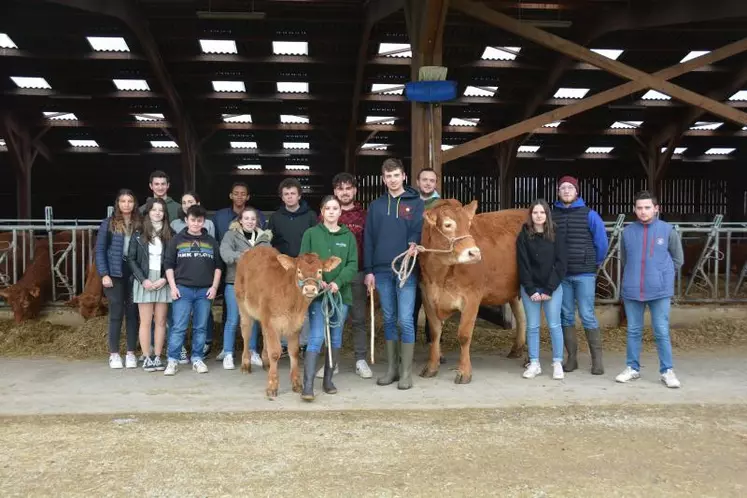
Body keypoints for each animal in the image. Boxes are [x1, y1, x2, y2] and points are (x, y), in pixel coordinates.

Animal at [234, 246, 342, 400]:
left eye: (320, 271)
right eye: (299, 271)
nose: (310, 289)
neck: (293, 303)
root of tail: (253, 249)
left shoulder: (295, 324)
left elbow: (294, 352)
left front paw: (296, 383)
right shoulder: (272, 321)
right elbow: (275, 353)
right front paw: (272, 386)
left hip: (263, 316)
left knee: (264, 334)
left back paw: (266, 362)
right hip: (243, 306)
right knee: (246, 333)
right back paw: (245, 364)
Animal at [418, 200, 528, 384]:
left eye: (469, 225)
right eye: (448, 225)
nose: (474, 253)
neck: (440, 274)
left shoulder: (472, 297)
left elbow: (464, 335)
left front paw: (464, 372)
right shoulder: (427, 296)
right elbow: (434, 333)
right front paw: (431, 367)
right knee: (522, 316)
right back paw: (517, 349)